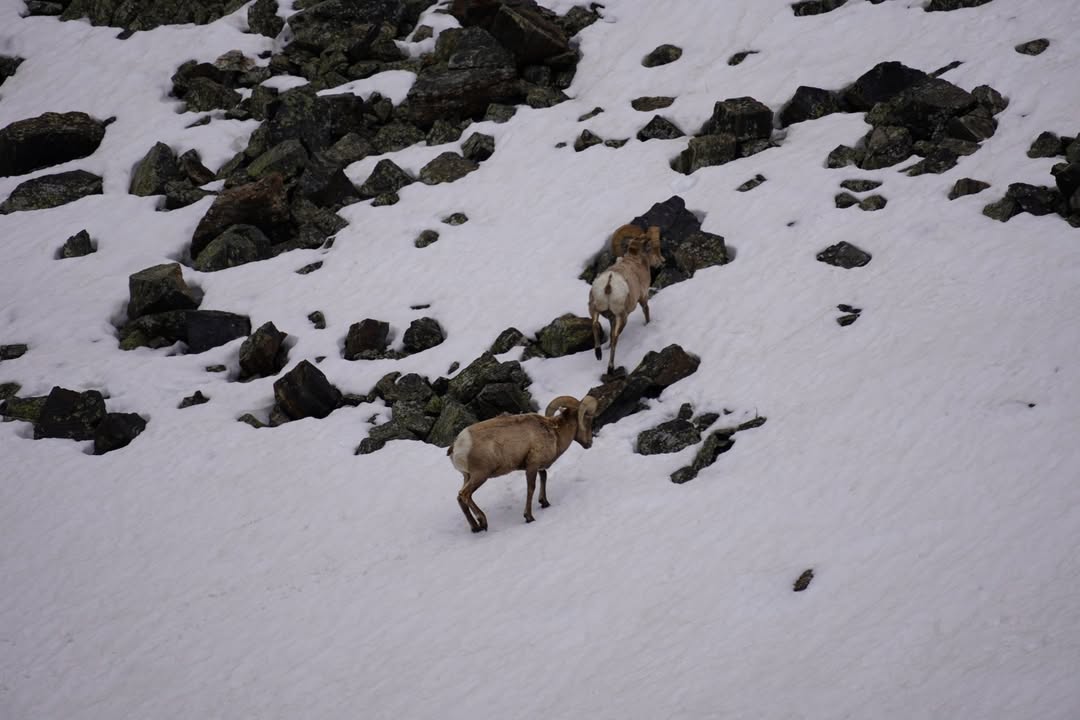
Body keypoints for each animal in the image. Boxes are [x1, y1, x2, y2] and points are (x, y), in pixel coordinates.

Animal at [448, 394, 598, 532]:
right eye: (587, 418)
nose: (589, 443)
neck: (555, 434)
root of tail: (457, 446)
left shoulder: (538, 466)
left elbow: (544, 477)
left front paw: (544, 502)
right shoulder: (532, 466)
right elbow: (531, 488)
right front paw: (529, 517)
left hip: (467, 476)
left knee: (460, 498)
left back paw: (475, 528)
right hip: (480, 475)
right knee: (464, 495)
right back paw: (483, 522)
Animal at [589, 224, 664, 375]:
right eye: (653, 248)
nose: (661, 262)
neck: (635, 260)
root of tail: (609, 284)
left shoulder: (611, 318)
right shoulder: (643, 297)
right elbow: (646, 311)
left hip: (594, 308)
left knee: (594, 324)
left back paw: (598, 353)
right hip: (622, 317)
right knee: (614, 338)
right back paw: (610, 367)